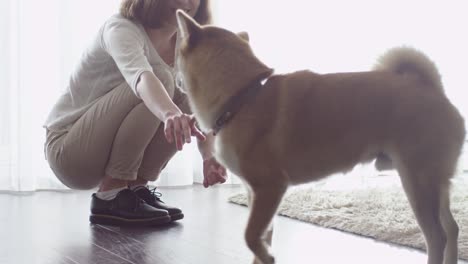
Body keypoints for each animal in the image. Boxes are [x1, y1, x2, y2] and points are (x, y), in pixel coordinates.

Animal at [175, 9, 464, 262]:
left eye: (177, 56)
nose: (174, 76)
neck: (243, 97)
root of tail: (433, 90)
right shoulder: (255, 194)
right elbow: (260, 237)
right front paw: (264, 257)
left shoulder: (269, 188)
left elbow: (249, 235)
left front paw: (267, 255)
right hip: (433, 183)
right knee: (452, 229)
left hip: (417, 182)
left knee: (437, 237)